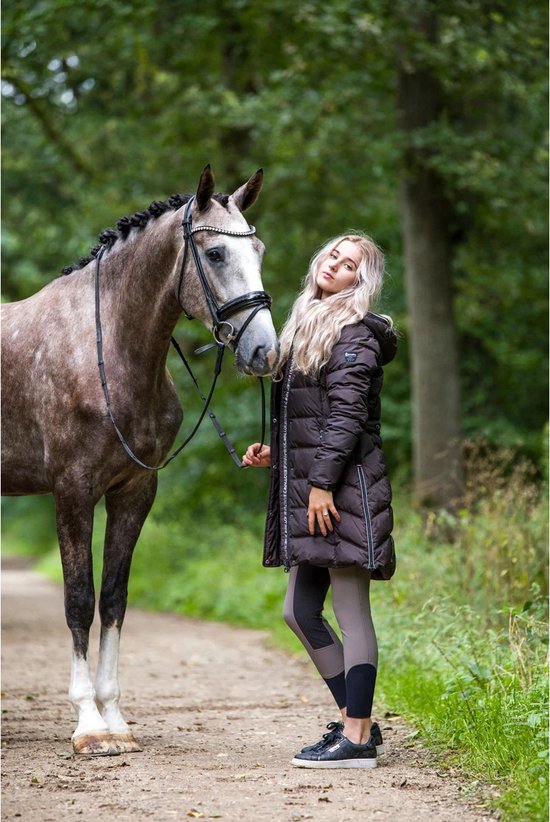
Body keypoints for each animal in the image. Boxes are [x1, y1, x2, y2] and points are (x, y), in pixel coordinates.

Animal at [1, 165, 279, 756]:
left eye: (259, 249)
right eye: (215, 253)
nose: (265, 352)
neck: (107, 351)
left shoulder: (133, 491)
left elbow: (113, 598)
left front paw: (115, 719)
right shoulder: (72, 491)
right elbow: (78, 600)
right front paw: (87, 724)